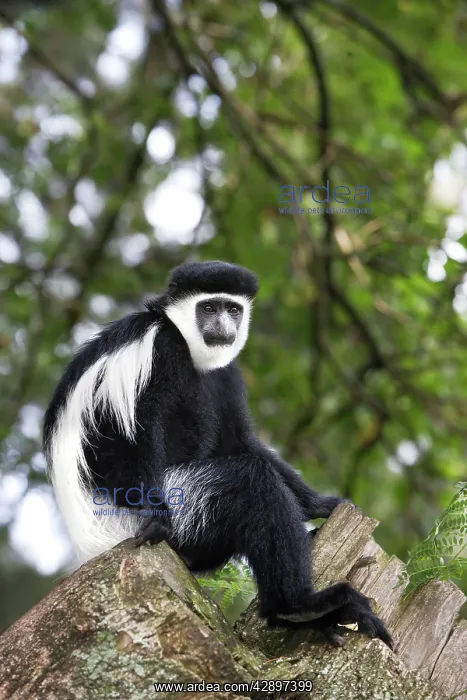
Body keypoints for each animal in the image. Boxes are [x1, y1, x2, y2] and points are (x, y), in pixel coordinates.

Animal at [43, 260, 392, 648]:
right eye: (208, 308)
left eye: (233, 309)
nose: (225, 326)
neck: (186, 343)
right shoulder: (154, 350)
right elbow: (123, 436)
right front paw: (155, 512)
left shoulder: (228, 376)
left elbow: (240, 440)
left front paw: (323, 504)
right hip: (161, 510)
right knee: (249, 481)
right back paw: (297, 606)